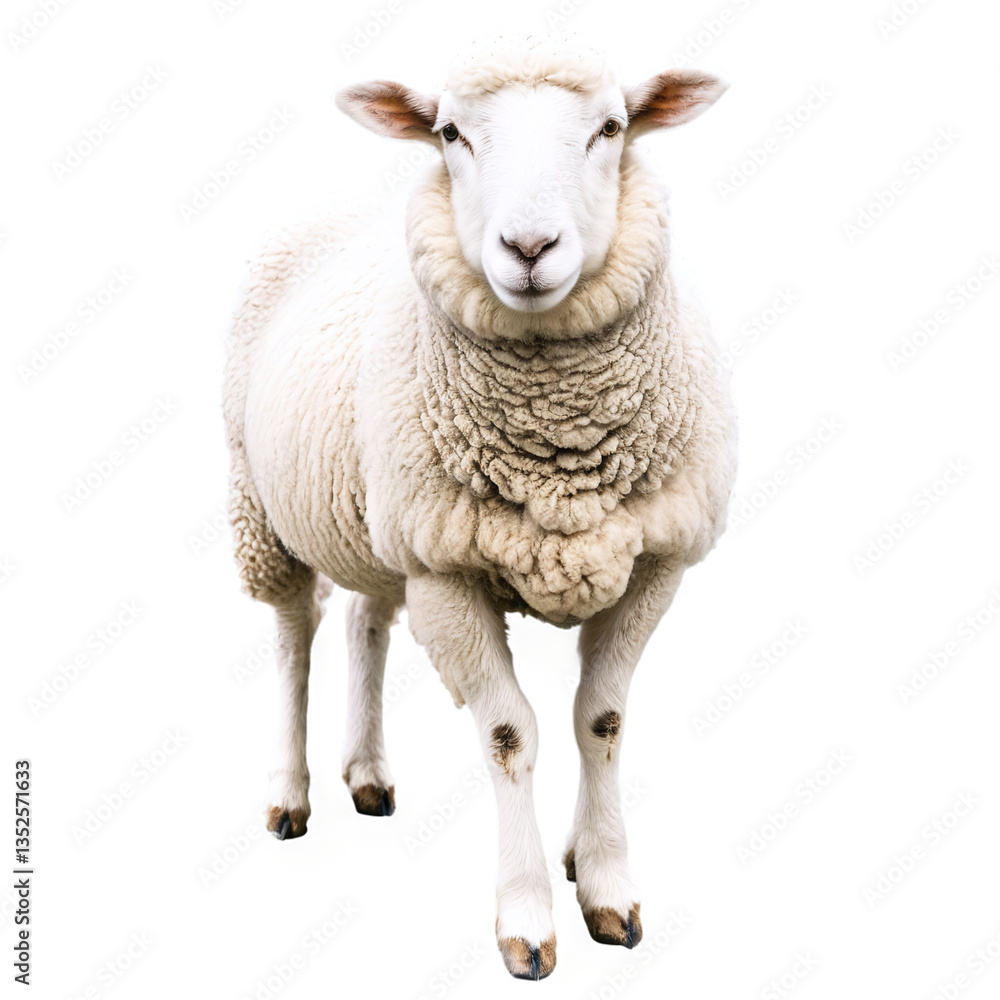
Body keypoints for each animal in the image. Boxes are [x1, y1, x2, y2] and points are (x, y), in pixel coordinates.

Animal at [223, 32, 737, 981]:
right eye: (450, 133)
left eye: (612, 127)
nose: (529, 246)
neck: (558, 441)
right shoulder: (450, 574)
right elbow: (509, 735)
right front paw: (528, 919)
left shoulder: (653, 561)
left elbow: (601, 721)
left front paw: (603, 883)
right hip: (264, 510)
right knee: (292, 639)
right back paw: (288, 794)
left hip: (381, 524)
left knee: (364, 622)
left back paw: (367, 775)